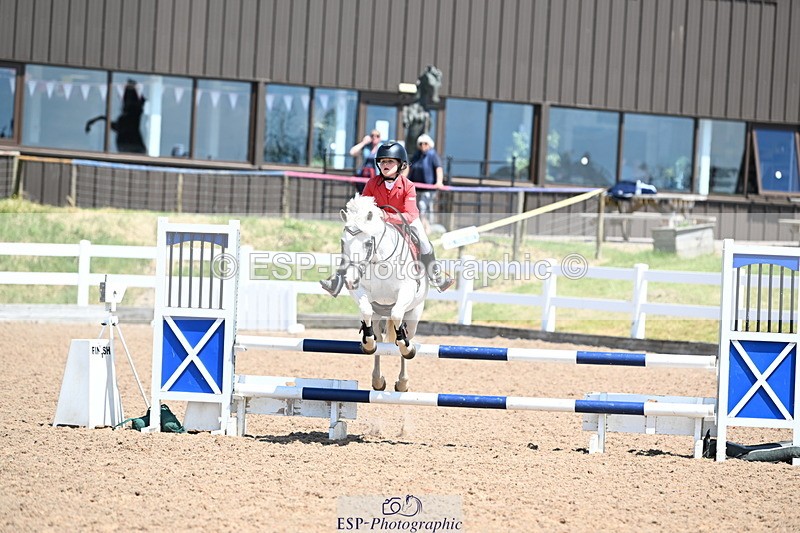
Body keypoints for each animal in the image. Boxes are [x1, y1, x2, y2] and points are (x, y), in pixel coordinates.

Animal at [338, 194, 427, 392]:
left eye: (368, 243)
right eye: (343, 242)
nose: (350, 280)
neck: (379, 261)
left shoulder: (406, 291)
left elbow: (397, 315)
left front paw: (406, 347)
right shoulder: (363, 293)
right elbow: (366, 312)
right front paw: (368, 342)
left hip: (414, 314)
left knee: (406, 335)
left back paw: (403, 381)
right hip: (379, 314)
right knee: (378, 338)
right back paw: (378, 380)